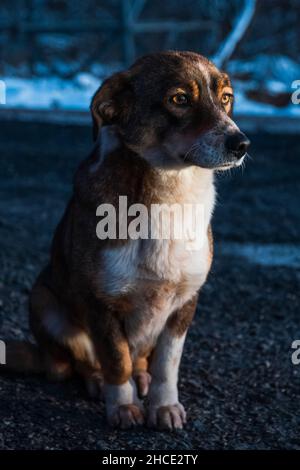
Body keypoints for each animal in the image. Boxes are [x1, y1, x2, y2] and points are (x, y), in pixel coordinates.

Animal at [1, 51, 251, 430]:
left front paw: (164, 406)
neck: (168, 196)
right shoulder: (100, 303)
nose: (241, 144)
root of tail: (42, 356)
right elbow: (116, 359)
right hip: (43, 300)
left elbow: (167, 364)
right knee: (79, 364)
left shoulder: (184, 303)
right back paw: (98, 382)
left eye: (226, 98)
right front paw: (122, 406)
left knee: (142, 362)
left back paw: (142, 378)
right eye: (179, 99)